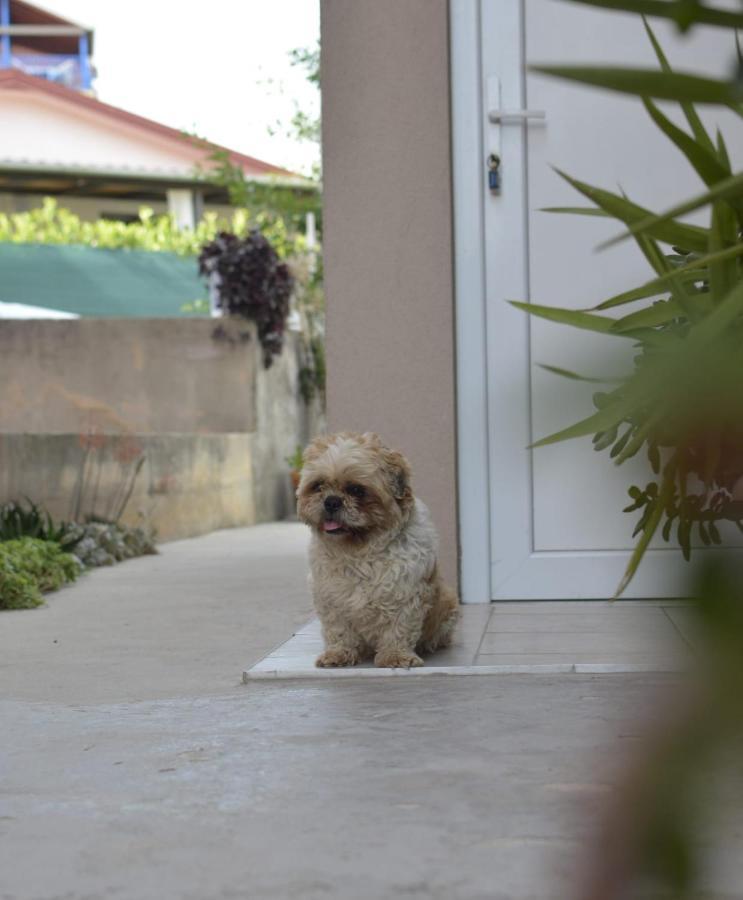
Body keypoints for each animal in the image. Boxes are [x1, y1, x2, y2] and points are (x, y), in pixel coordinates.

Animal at [296, 428, 460, 668]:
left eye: (356, 490)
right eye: (318, 486)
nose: (331, 501)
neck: (360, 552)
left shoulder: (405, 594)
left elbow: (398, 629)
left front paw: (396, 656)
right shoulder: (330, 599)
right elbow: (339, 631)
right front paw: (339, 654)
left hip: (448, 602)